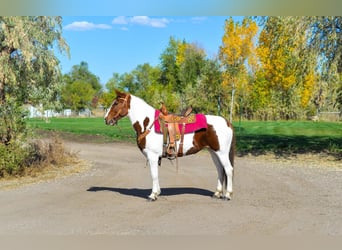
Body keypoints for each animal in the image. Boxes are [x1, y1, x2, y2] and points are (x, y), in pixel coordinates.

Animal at [104, 90, 235, 201]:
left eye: (116, 103)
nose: (106, 119)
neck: (147, 124)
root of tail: (227, 122)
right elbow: (155, 174)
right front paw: (157, 192)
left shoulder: (152, 156)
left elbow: (154, 174)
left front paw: (153, 195)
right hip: (213, 152)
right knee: (220, 169)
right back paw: (217, 193)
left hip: (222, 153)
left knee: (228, 169)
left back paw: (227, 195)